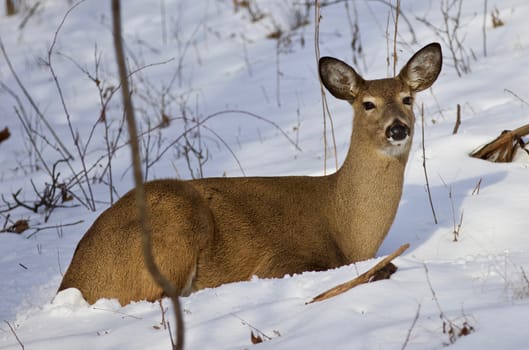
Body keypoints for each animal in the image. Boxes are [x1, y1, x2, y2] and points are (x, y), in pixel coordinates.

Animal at [57, 42, 442, 304]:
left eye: (407, 98)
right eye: (367, 104)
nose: (397, 128)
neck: (347, 228)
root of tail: (74, 280)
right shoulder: (280, 261)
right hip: (173, 221)